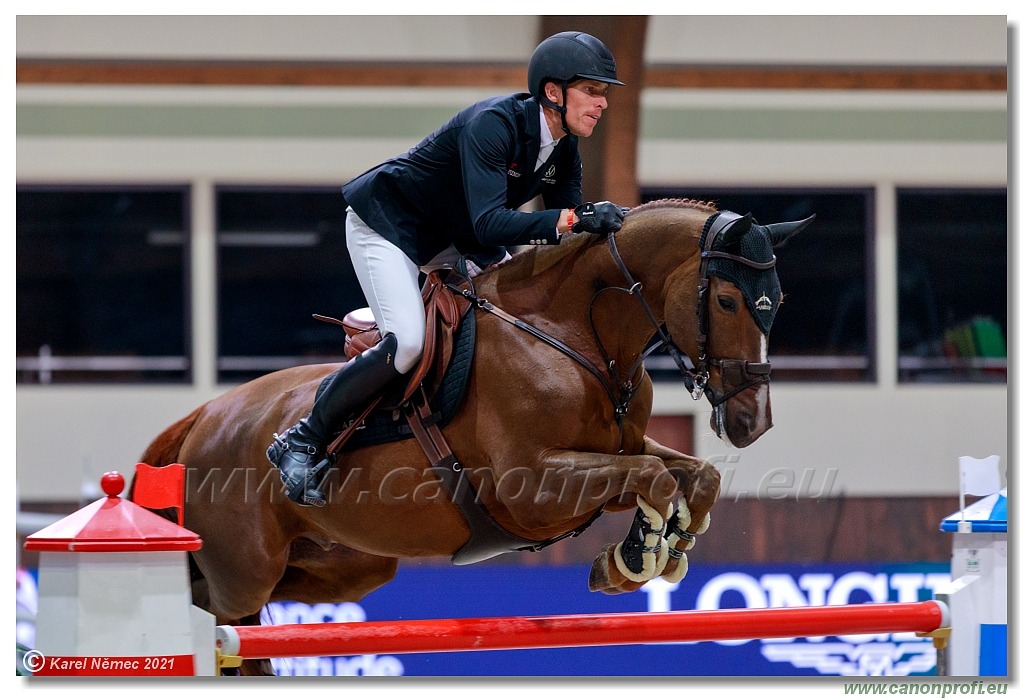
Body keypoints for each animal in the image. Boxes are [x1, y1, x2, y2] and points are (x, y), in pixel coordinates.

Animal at [136, 198, 811, 671]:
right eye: (727, 302)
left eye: (777, 302)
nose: (753, 422)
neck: (574, 333)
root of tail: (206, 417)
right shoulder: (532, 488)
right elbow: (652, 478)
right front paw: (639, 554)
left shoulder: (617, 448)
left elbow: (695, 475)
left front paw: (647, 554)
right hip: (242, 569)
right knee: (212, 608)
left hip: (345, 565)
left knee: (253, 628)